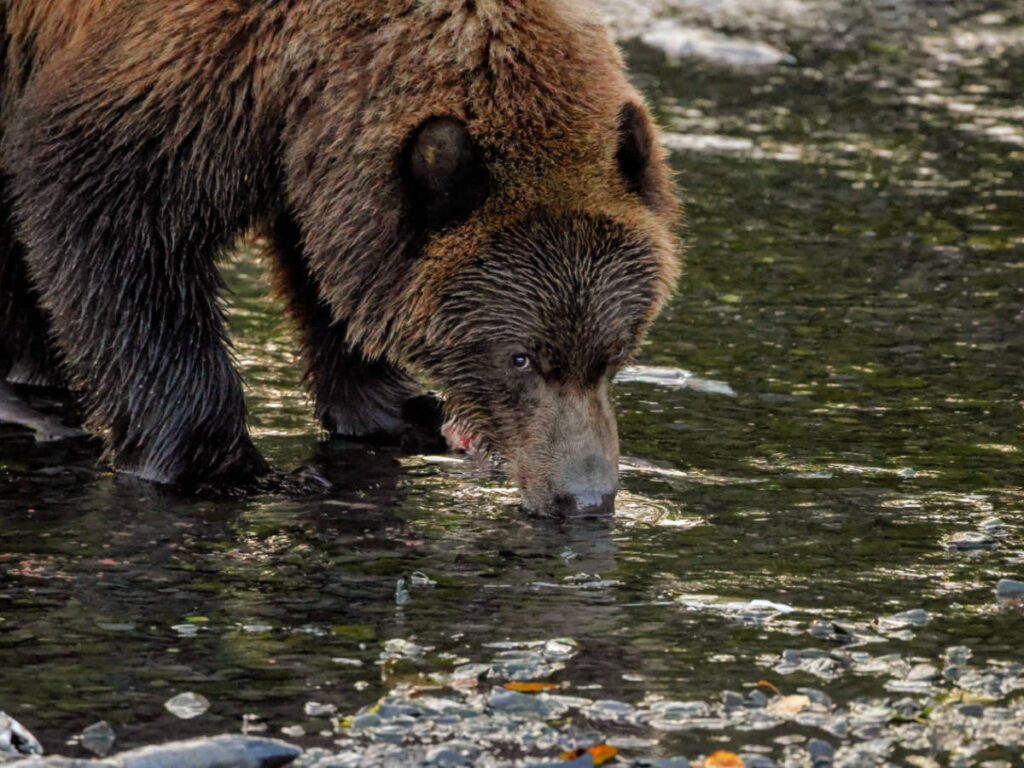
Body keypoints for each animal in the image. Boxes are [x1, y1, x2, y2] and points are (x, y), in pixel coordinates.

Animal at [0, 0, 680, 514]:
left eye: (615, 353)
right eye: (520, 357)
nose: (584, 498)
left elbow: (328, 265)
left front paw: (399, 406)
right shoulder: (178, 81)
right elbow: (115, 223)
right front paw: (232, 469)